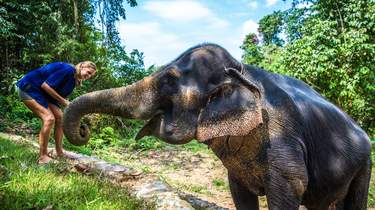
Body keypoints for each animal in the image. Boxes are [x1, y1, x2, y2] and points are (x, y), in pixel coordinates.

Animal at [63, 43, 372, 209]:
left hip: (365, 165)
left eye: (168, 81)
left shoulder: (282, 135)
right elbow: (240, 193)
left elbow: (291, 187)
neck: (242, 70)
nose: (84, 130)